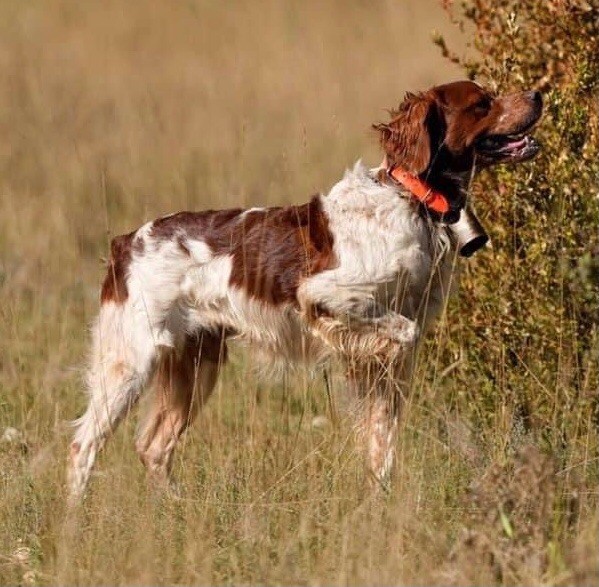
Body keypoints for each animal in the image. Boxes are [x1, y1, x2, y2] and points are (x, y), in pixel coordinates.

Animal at [67, 78, 544, 500]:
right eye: (482, 103)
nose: (538, 94)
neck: (412, 201)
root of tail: (125, 243)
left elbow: (381, 437)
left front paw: (379, 499)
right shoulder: (325, 295)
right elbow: (400, 336)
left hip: (196, 362)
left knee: (153, 447)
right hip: (131, 360)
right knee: (83, 446)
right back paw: (75, 522)